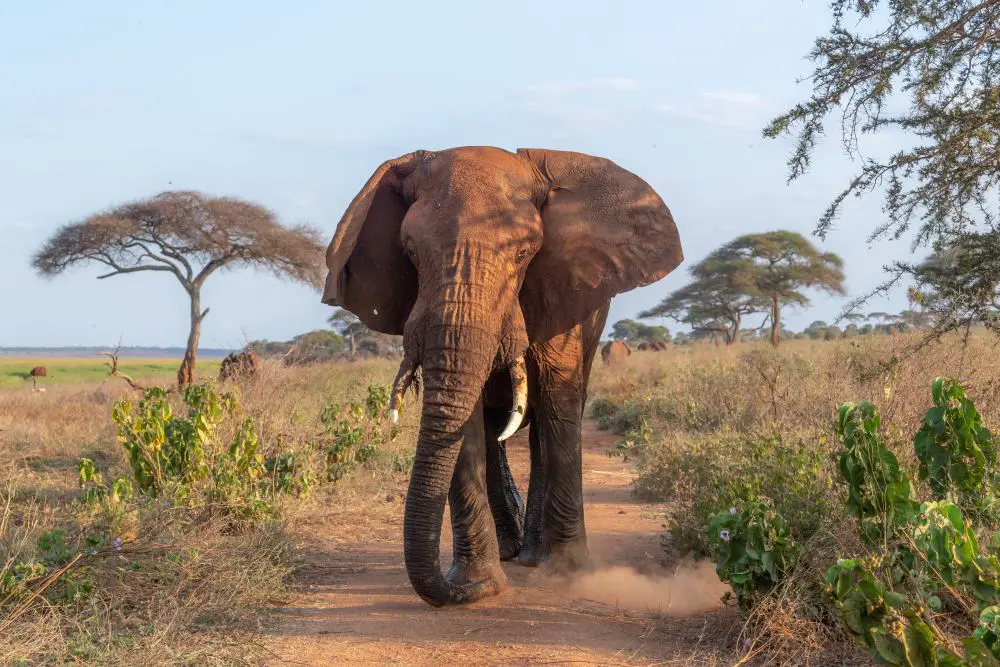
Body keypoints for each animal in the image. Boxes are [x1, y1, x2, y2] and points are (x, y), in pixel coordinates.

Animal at [322, 146, 682, 607]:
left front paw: (569, 573)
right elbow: (466, 418)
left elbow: (558, 400)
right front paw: (480, 583)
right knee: (497, 431)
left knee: (546, 422)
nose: (461, 591)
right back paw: (511, 551)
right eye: (411, 251)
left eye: (525, 253)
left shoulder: (564, 288)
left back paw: (533, 557)